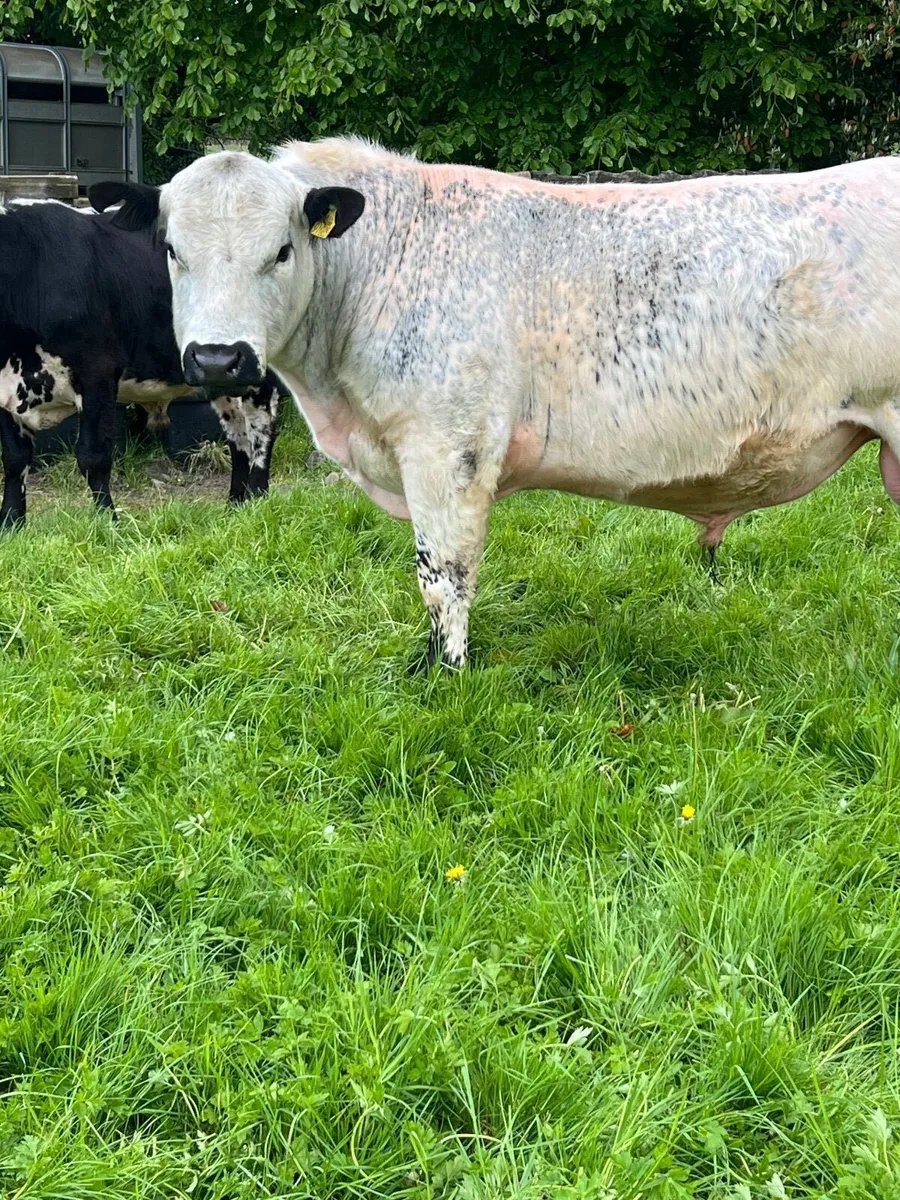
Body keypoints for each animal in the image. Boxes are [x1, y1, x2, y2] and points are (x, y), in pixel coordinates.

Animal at [0, 194, 284, 527]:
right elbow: (15, 459)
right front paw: (11, 523)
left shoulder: (97, 372)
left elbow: (93, 456)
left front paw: (106, 522)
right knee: (237, 437)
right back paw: (235, 507)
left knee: (261, 429)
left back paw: (259, 500)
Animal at [97, 139, 900, 667]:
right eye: (171, 249)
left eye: (283, 250)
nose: (217, 358)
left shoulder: (445, 447)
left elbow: (443, 577)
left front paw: (443, 675)